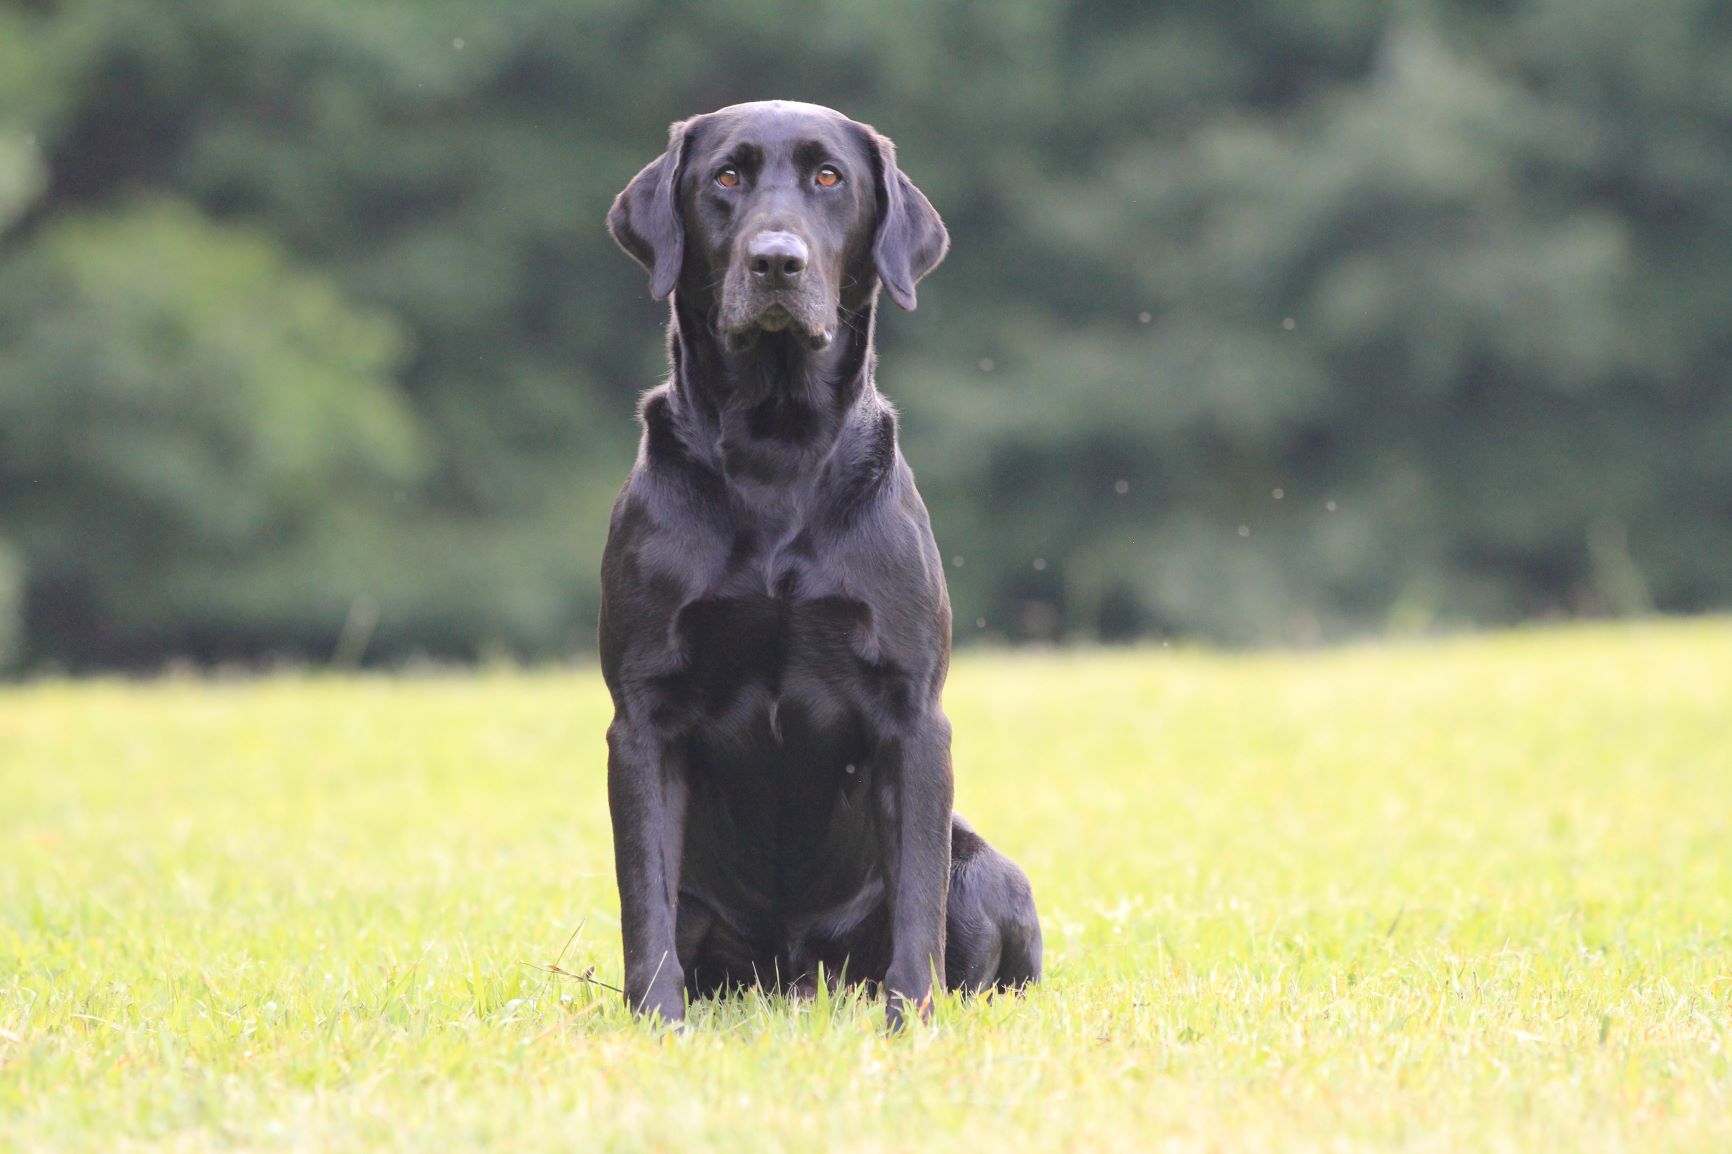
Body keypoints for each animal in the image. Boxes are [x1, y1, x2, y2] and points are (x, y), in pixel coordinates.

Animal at [602, 100, 1032, 1025]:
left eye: (829, 177)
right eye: (726, 175)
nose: (776, 260)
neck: (777, 449)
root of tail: (796, 978)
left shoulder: (913, 711)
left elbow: (916, 902)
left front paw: (912, 1023)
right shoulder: (643, 711)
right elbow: (643, 896)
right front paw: (657, 1024)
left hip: (990, 874)